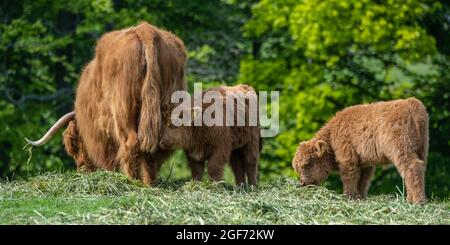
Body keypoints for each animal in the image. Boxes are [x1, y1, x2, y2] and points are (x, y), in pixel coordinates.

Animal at [25, 22, 186, 185]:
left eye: (74, 145)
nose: (82, 169)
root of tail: (145, 30)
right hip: (169, 107)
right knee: (159, 148)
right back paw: (148, 183)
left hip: (123, 111)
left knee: (131, 144)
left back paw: (131, 180)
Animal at [292, 97, 428, 203]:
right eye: (298, 168)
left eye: (309, 163)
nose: (303, 183)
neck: (332, 135)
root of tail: (410, 103)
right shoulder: (365, 163)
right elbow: (362, 182)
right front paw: (360, 198)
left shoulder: (348, 159)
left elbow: (350, 179)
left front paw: (347, 197)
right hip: (421, 149)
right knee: (418, 170)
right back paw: (411, 200)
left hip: (401, 148)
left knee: (412, 167)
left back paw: (417, 201)